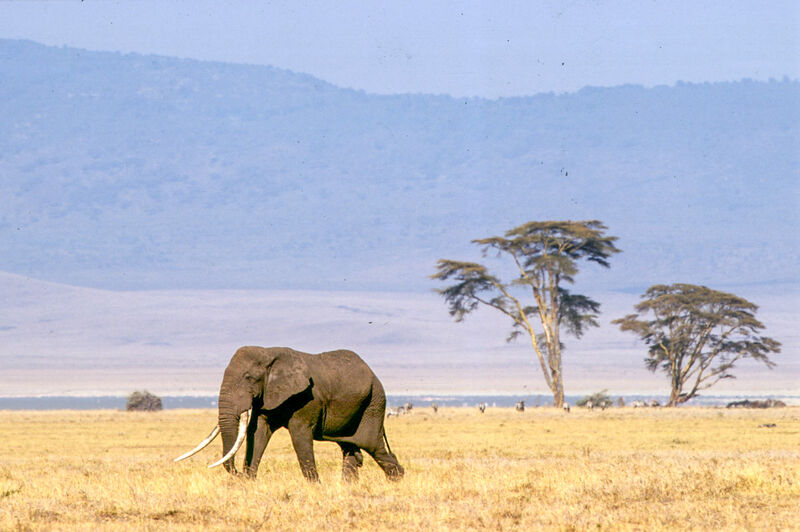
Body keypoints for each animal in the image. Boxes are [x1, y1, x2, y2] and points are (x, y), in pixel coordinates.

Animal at [175, 346, 404, 482]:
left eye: (248, 377)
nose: (239, 474)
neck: (269, 354)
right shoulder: (267, 396)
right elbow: (258, 433)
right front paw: (249, 482)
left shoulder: (308, 398)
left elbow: (299, 436)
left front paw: (315, 485)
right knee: (351, 449)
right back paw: (348, 486)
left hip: (374, 403)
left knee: (373, 446)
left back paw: (397, 479)